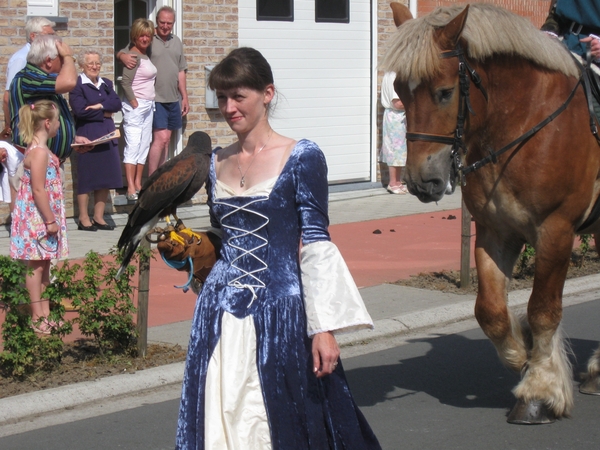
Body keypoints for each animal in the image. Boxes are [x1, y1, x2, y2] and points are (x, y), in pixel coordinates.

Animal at [382, 3, 600, 424]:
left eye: (445, 92)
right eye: (399, 91)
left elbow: (543, 310)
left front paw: (540, 390)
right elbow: (490, 312)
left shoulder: (556, 231)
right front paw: (522, 354)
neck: (523, 124)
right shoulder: (494, 231)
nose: (420, 182)